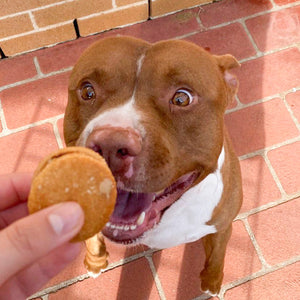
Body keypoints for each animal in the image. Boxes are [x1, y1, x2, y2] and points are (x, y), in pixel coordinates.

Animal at [63, 36, 244, 296]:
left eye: (182, 98)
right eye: (88, 91)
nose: (110, 145)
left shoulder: (222, 226)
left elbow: (217, 256)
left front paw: (212, 282)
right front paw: (95, 261)